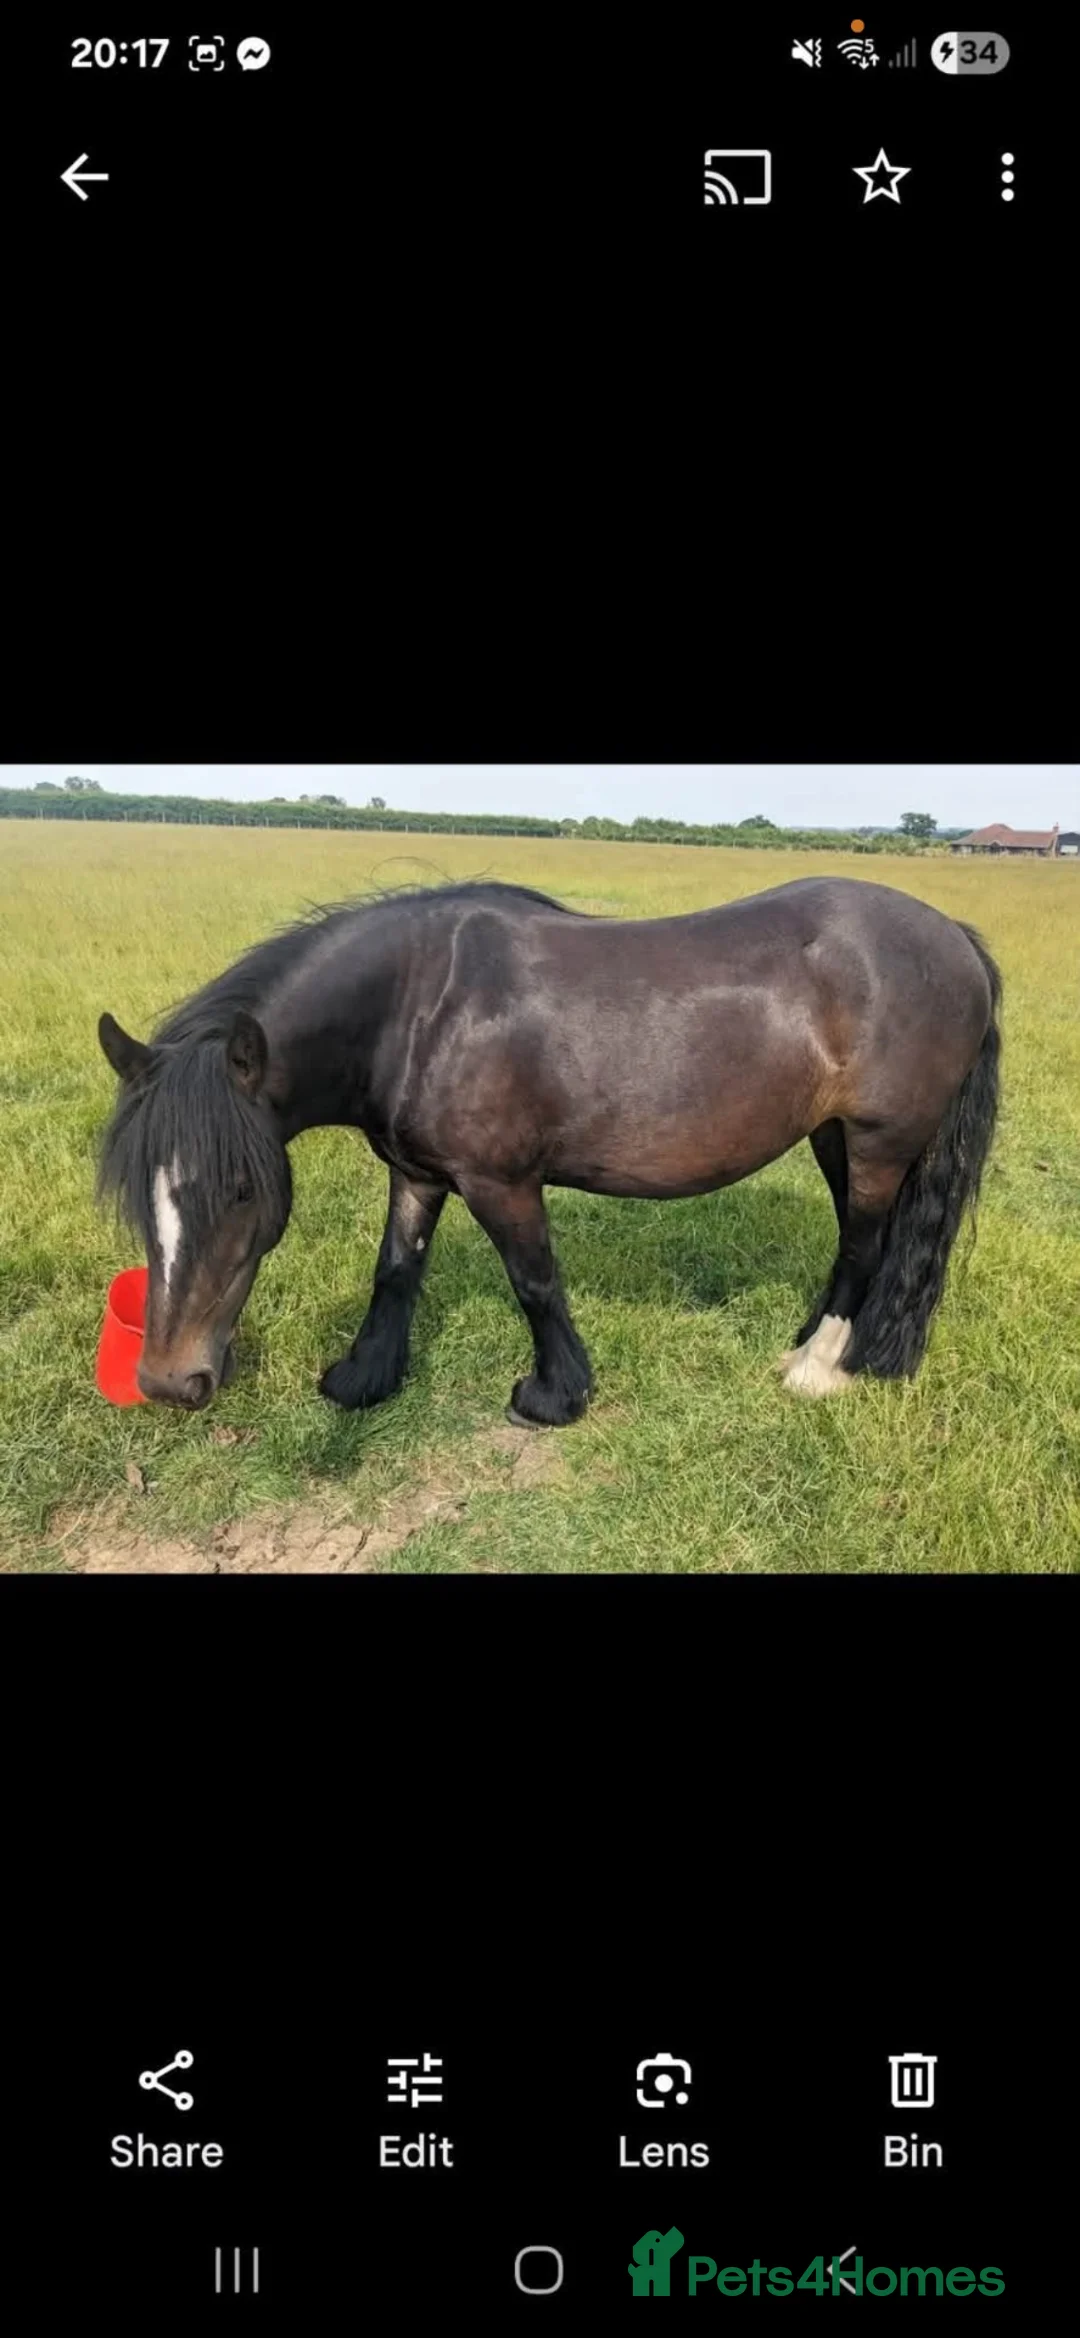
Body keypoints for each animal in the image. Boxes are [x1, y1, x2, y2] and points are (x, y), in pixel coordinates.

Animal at [97, 876, 1001, 1417]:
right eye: (143, 1189)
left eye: (243, 1189)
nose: (170, 1381)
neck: (419, 1008)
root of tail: (953, 937)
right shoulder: (418, 1174)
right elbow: (396, 1272)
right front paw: (364, 1379)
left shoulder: (500, 1182)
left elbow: (534, 1281)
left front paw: (553, 1395)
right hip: (834, 1137)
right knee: (861, 1245)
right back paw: (817, 1340)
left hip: (880, 1142)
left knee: (864, 1245)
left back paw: (819, 1368)